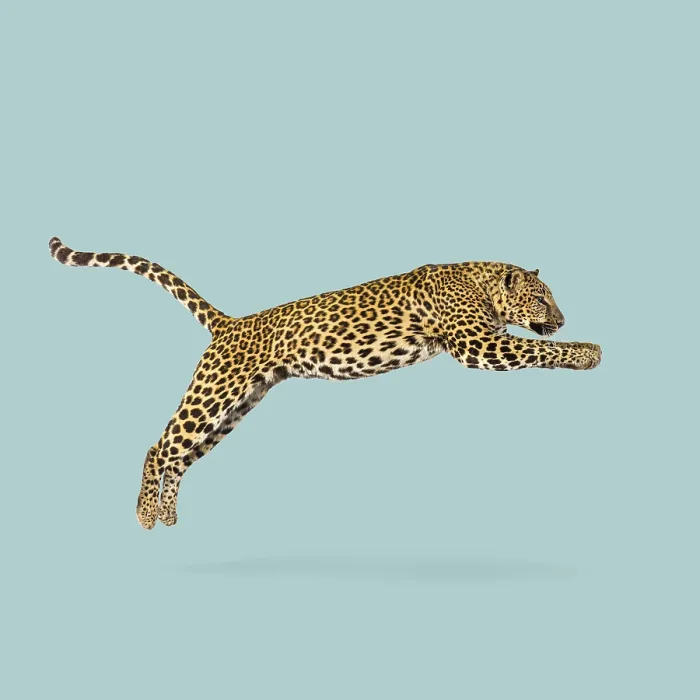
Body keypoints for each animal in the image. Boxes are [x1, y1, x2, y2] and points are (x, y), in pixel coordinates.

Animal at [49, 237, 602, 529]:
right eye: (543, 297)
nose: (563, 318)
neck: (481, 282)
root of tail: (231, 323)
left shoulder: (486, 340)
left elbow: (533, 348)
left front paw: (581, 350)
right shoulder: (477, 345)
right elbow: (537, 349)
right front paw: (586, 352)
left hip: (235, 408)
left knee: (179, 456)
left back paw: (167, 516)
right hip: (213, 393)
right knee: (158, 446)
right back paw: (144, 516)